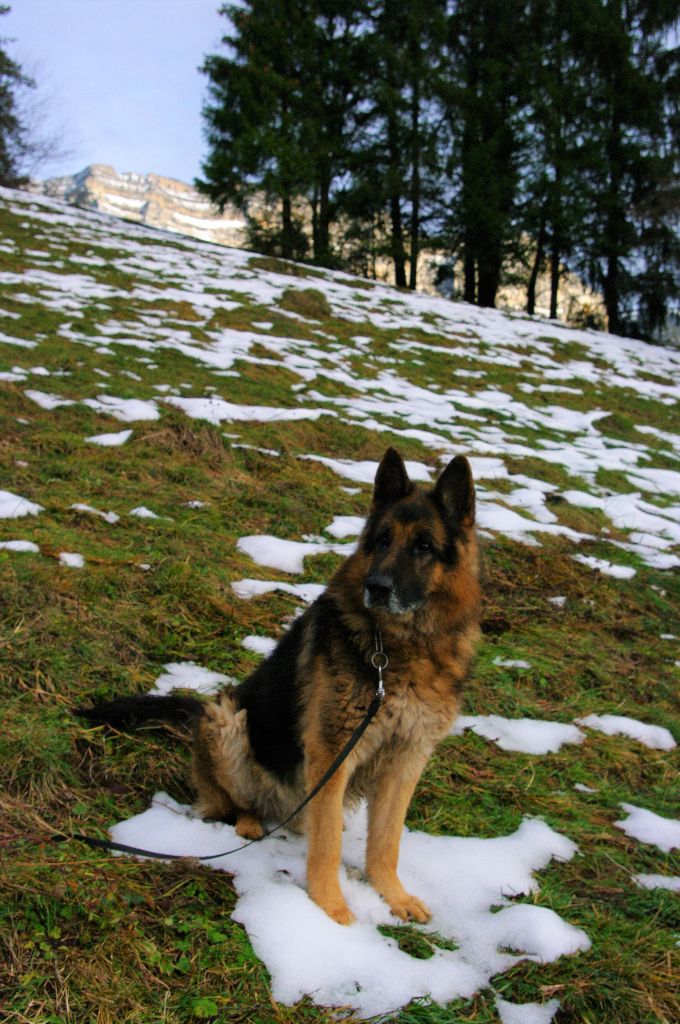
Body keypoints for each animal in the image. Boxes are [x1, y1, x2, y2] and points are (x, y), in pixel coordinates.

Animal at [82, 448, 481, 925]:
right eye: (383, 540)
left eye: (423, 546)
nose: (377, 587)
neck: (397, 649)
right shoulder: (331, 752)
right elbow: (327, 846)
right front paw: (330, 907)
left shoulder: (405, 762)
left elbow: (387, 843)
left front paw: (393, 895)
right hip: (229, 721)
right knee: (232, 803)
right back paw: (250, 822)